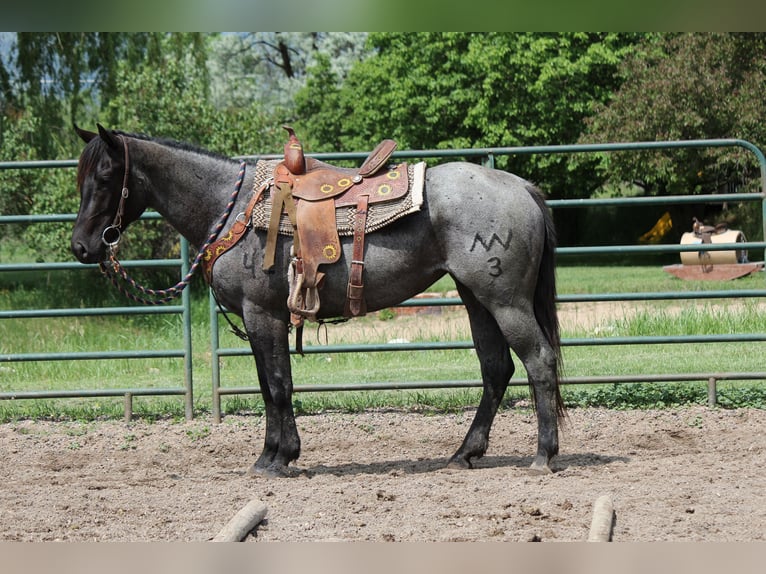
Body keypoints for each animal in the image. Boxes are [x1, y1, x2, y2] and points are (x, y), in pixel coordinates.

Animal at [70, 124, 565, 477]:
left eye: (106, 175)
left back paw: (543, 455)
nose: (81, 246)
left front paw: (276, 458)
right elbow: (271, 384)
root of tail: (521, 187)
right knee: (496, 369)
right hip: (475, 298)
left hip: (504, 300)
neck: (230, 210)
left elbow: (276, 385)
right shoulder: (264, 318)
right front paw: (276, 454)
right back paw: (465, 452)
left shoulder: (262, 314)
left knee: (538, 360)